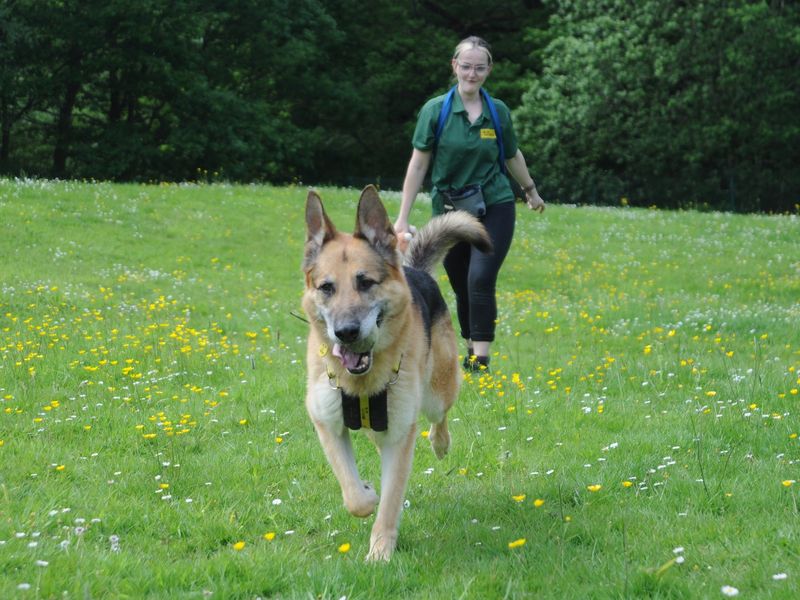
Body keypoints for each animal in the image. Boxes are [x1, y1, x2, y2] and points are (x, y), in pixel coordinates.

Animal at [304, 185, 490, 560]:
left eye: (365, 282)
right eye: (327, 288)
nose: (346, 333)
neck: (360, 384)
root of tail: (412, 269)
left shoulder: (400, 434)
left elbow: (390, 502)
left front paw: (380, 553)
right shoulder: (328, 425)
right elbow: (355, 496)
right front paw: (367, 491)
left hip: (436, 392)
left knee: (438, 419)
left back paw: (440, 443)